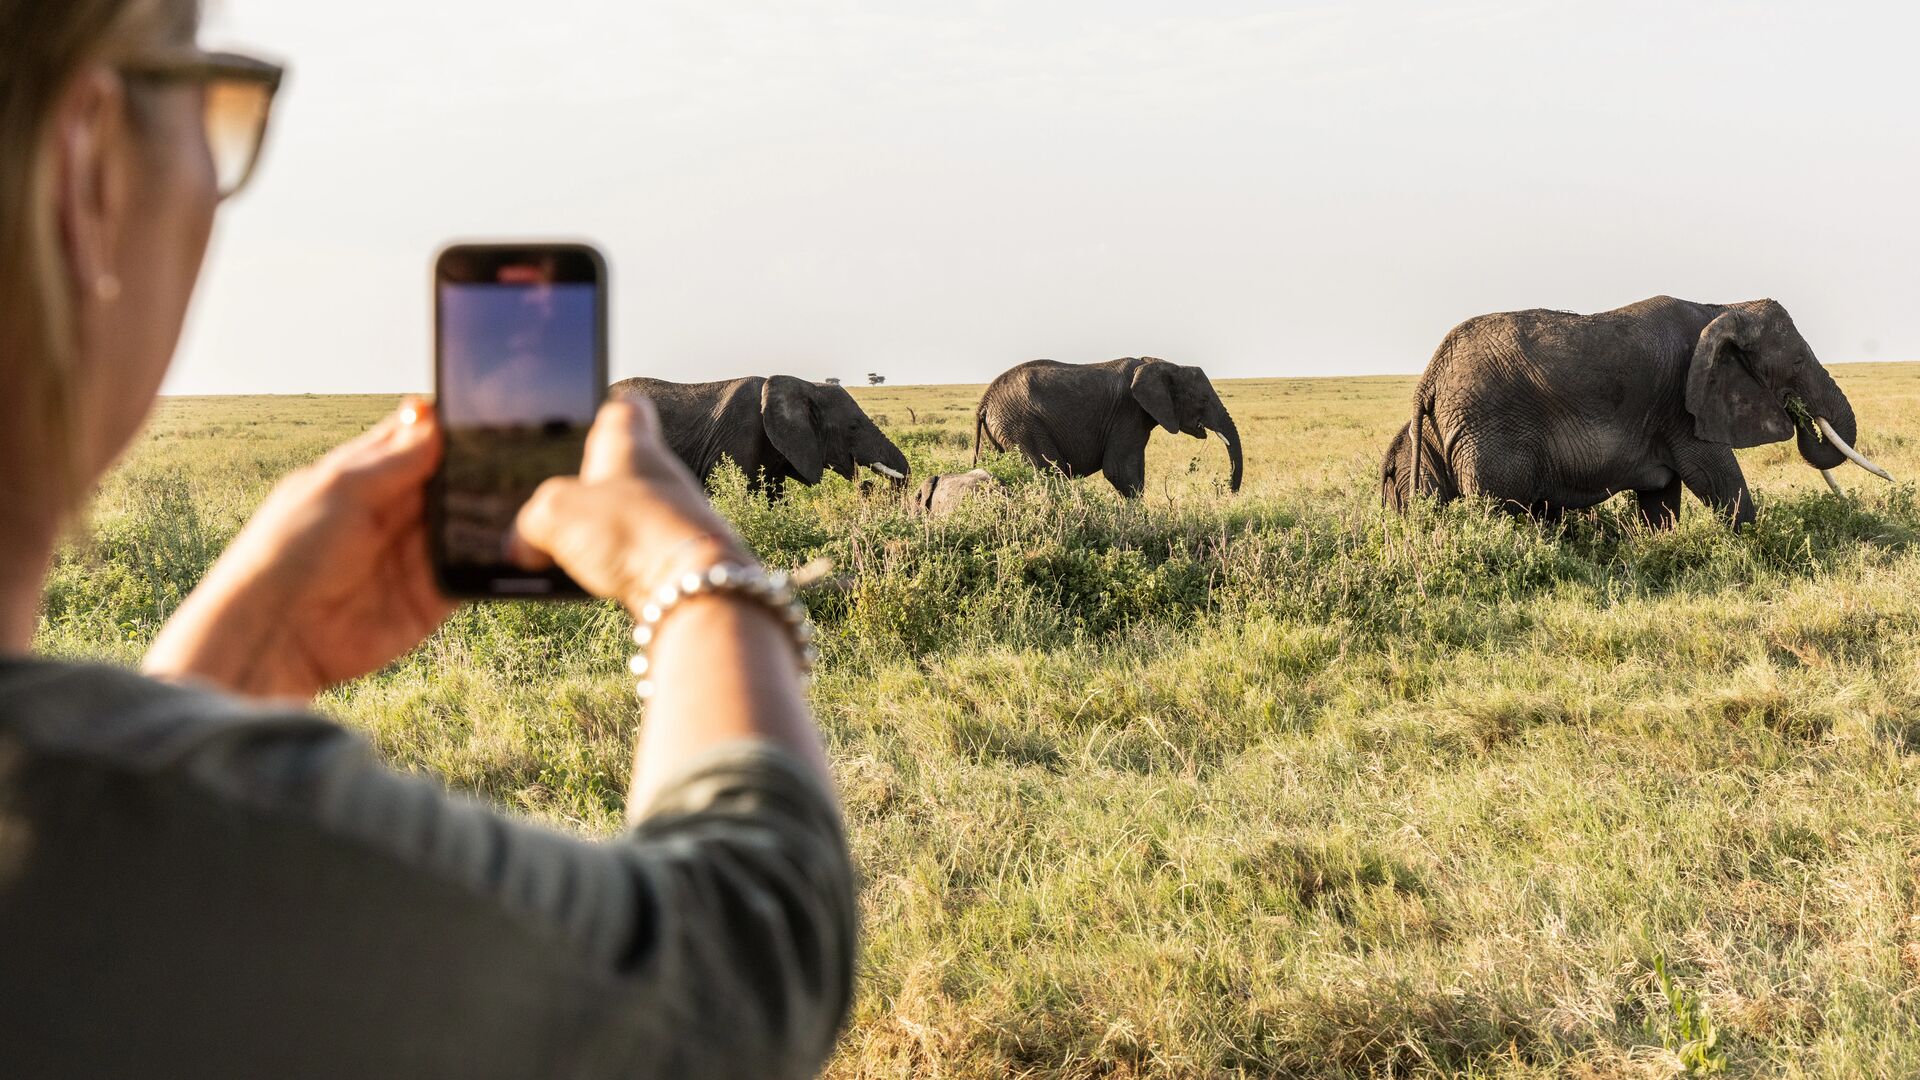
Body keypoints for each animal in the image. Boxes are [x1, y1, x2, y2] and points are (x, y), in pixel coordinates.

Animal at [973, 357, 1243, 497]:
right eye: (1203, 400)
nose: (1228, 493)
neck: (1158, 362)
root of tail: (984, 402)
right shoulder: (1128, 412)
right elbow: (1120, 472)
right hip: (1022, 424)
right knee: (1049, 472)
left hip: (998, 429)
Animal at [1381, 296, 1892, 527]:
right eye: (1799, 362)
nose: (1802, 413)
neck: (1722, 307)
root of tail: (1429, 378)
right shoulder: (1684, 408)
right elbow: (1717, 478)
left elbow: (1661, 498)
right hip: (1488, 432)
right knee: (1501, 509)